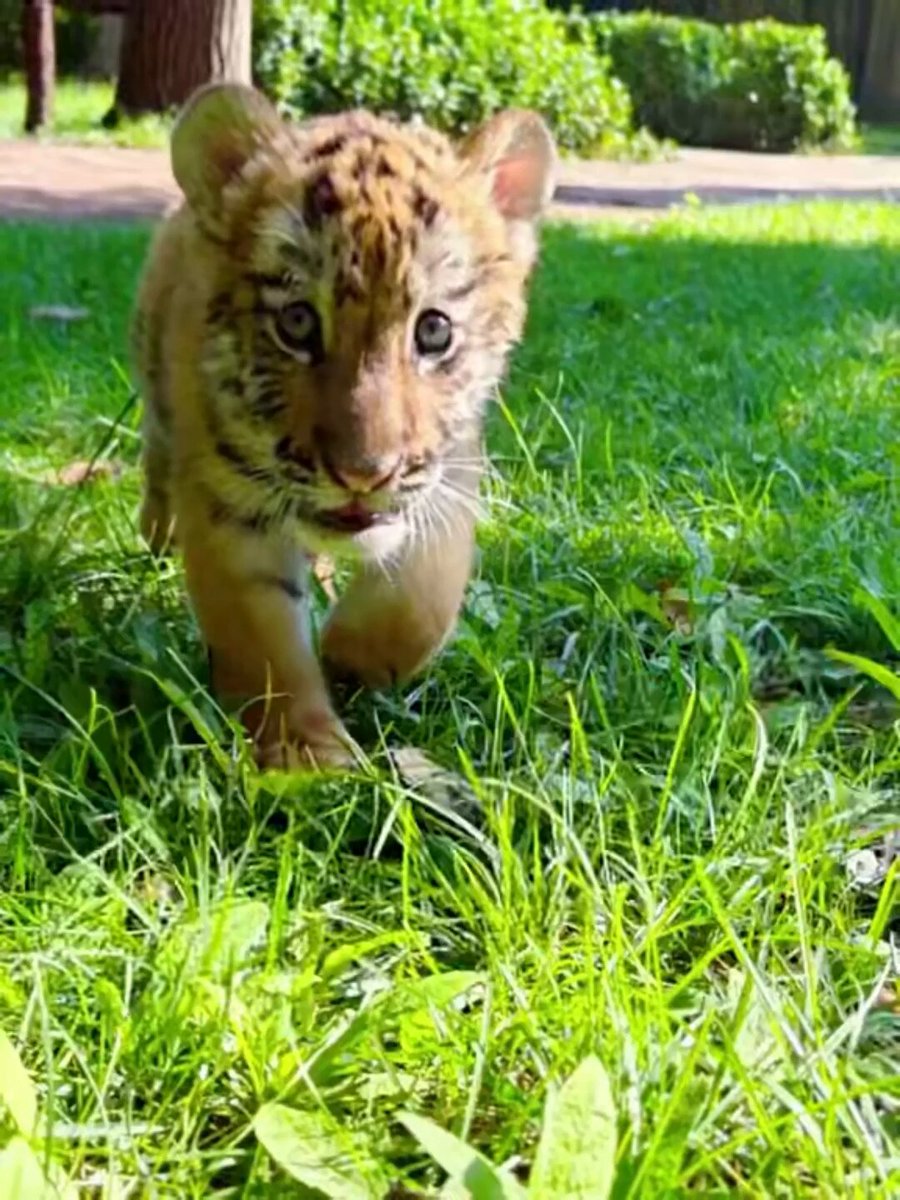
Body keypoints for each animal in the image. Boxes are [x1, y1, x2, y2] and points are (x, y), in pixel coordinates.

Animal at [132, 82, 556, 769]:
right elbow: (263, 641)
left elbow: (424, 593)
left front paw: (351, 656)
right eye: (298, 323)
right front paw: (308, 761)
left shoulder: (450, 469)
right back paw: (158, 534)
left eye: (433, 331)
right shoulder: (230, 500)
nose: (363, 475)